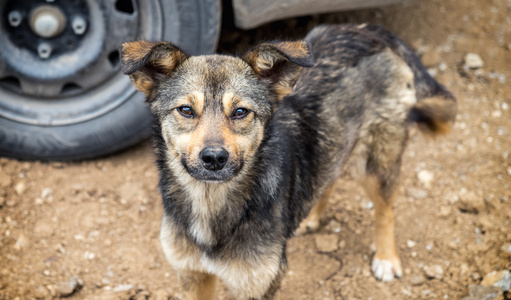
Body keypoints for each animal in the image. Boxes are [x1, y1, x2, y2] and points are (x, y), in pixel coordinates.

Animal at [122, 24, 458, 300]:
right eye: (186, 110)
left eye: (241, 112)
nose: (214, 158)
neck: (210, 204)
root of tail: (368, 31)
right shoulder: (193, 275)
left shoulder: (260, 283)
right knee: (330, 174)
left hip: (377, 159)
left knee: (386, 208)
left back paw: (387, 259)